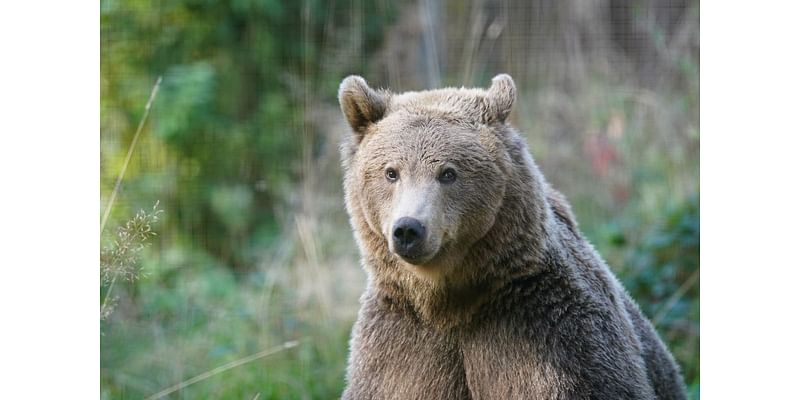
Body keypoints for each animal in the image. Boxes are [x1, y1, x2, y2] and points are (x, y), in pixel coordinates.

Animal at [334, 73, 684, 398]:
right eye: (390, 172)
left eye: (448, 172)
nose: (409, 229)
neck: (447, 303)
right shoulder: (402, 343)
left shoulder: (544, 332)